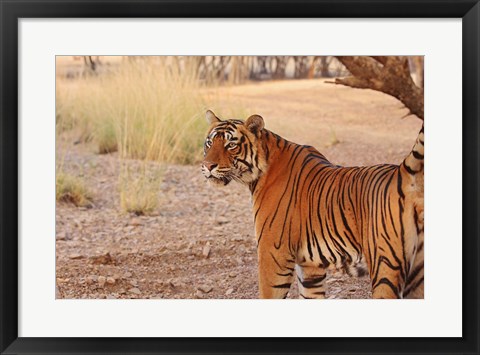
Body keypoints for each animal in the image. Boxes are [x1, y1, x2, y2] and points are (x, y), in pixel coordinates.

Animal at [202, 110, 424, 298]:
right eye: (209, 143)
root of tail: (402, 172)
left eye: (231, 145)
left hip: (385, 266)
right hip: (417, 275)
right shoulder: (310, 266)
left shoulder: (273, 254)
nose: (207, 166)